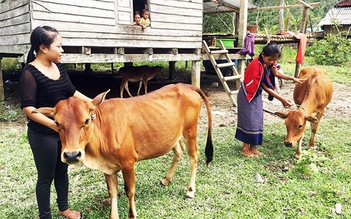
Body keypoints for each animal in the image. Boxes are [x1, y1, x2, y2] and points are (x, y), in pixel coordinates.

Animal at [35, 83, 213, 219]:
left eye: (86, 120)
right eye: (56, 123)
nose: (71, 155)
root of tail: (186, 85)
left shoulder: (128, 163)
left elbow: (129, 191)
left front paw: (132, 214)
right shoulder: (108, 168)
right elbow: (112, 192)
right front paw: (113, 215)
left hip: (190, 131)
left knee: (194, 157)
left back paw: (190, 191)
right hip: (173, 135)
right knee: (178, 152)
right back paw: (166, 179)